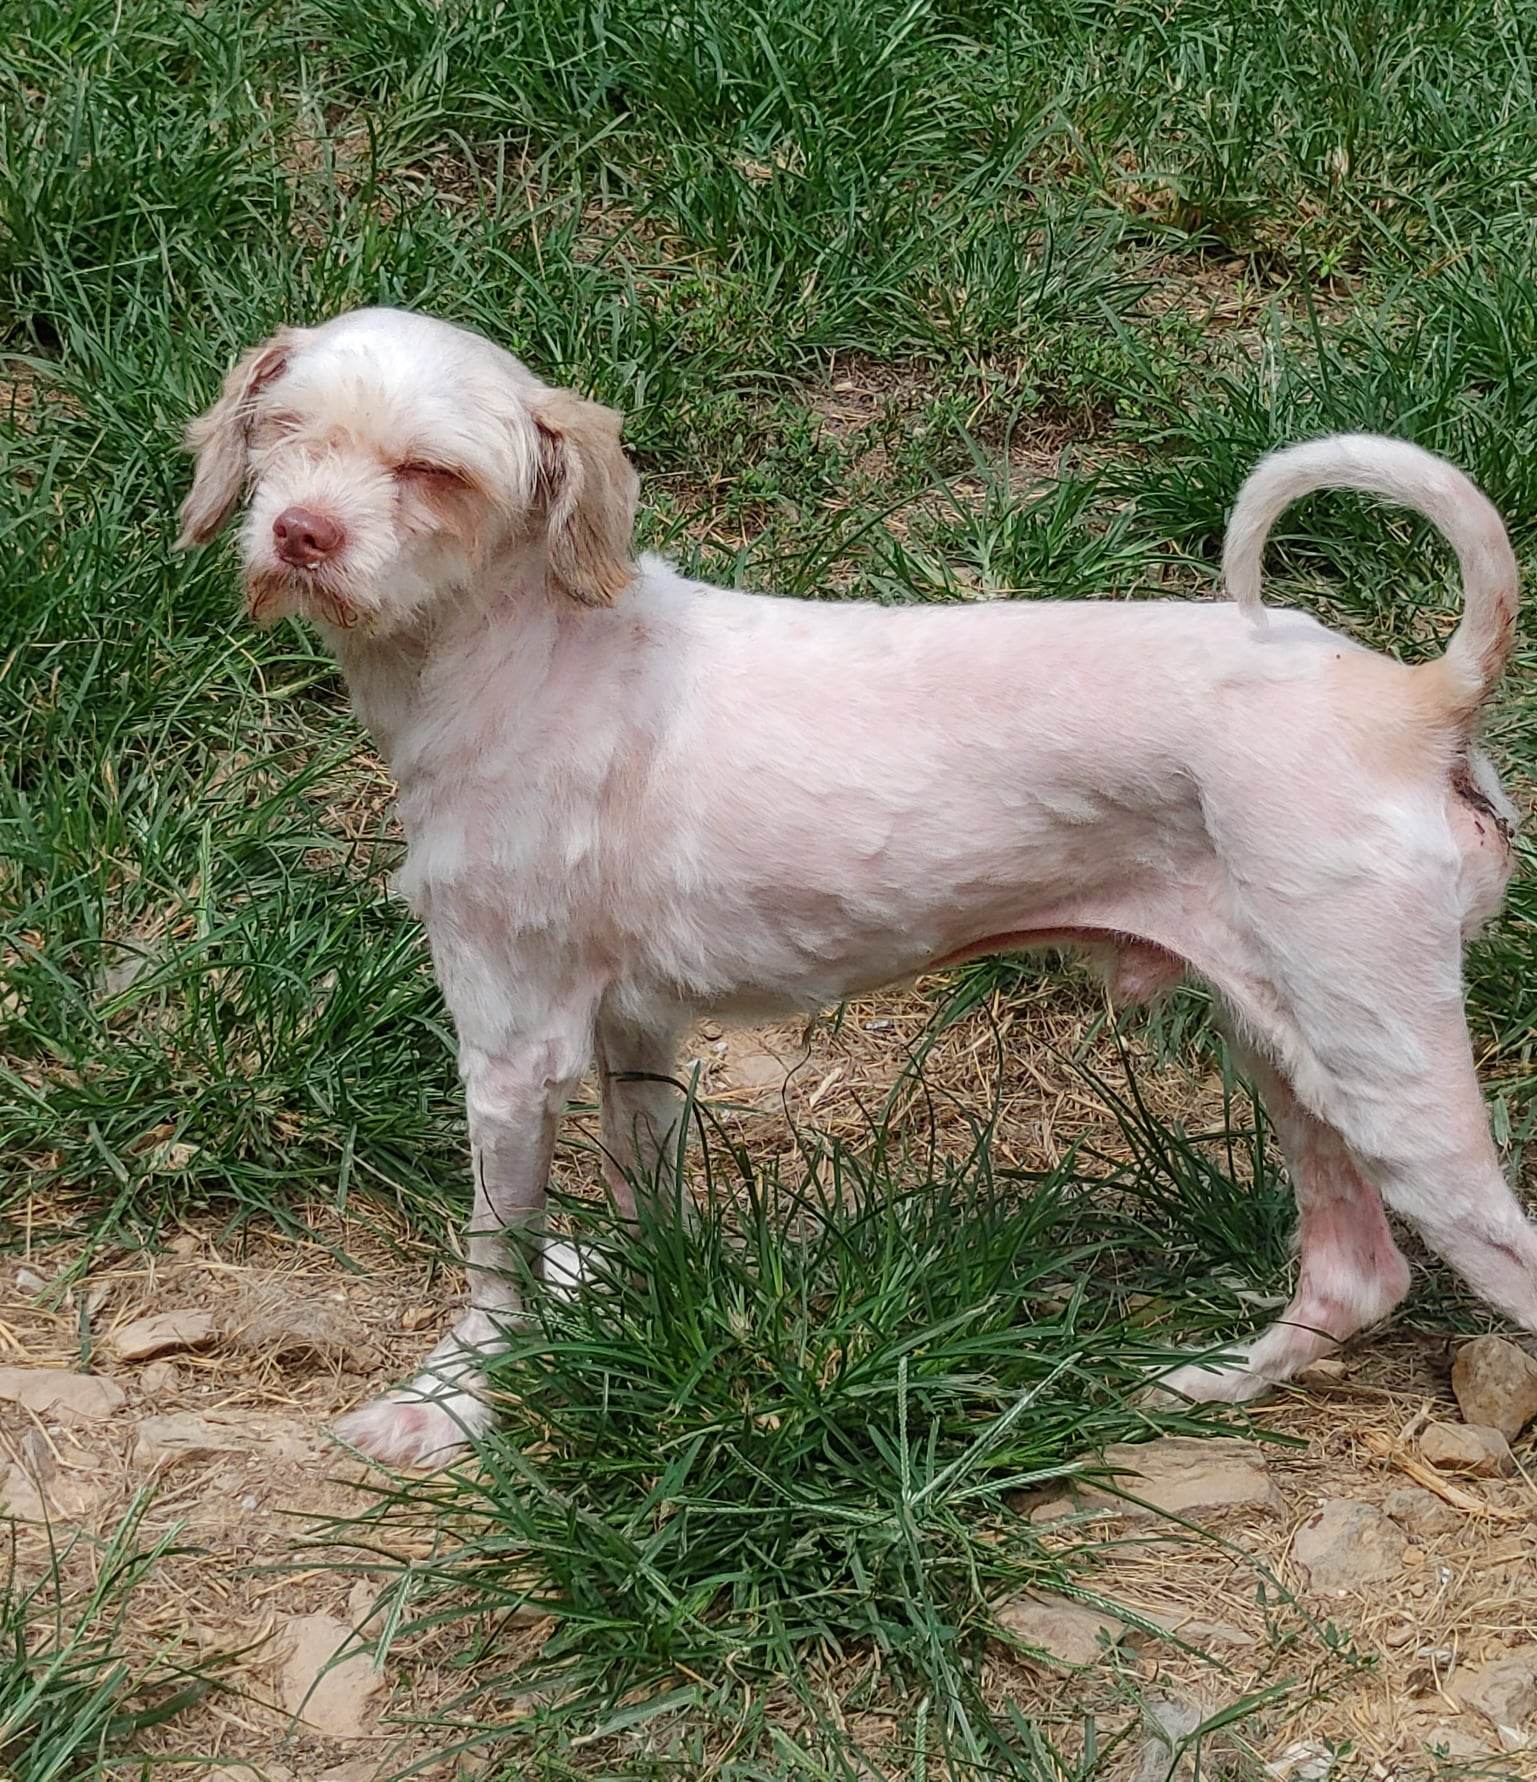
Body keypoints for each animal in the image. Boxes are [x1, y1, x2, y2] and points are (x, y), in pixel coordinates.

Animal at [177, 306, 1524, 1468]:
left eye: (434, 472)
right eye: (283, 430)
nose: (300, 533)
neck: (530, 650)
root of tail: (1414, 699)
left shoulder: (511, 1043)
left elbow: (493, 1259)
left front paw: (453, 1402)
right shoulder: (635, 1031)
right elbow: (641, 1196)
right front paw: (639, 1310)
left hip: (1383, 1061)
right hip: (1287, 1041)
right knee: (1358, 1272)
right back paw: (1213, 1380)